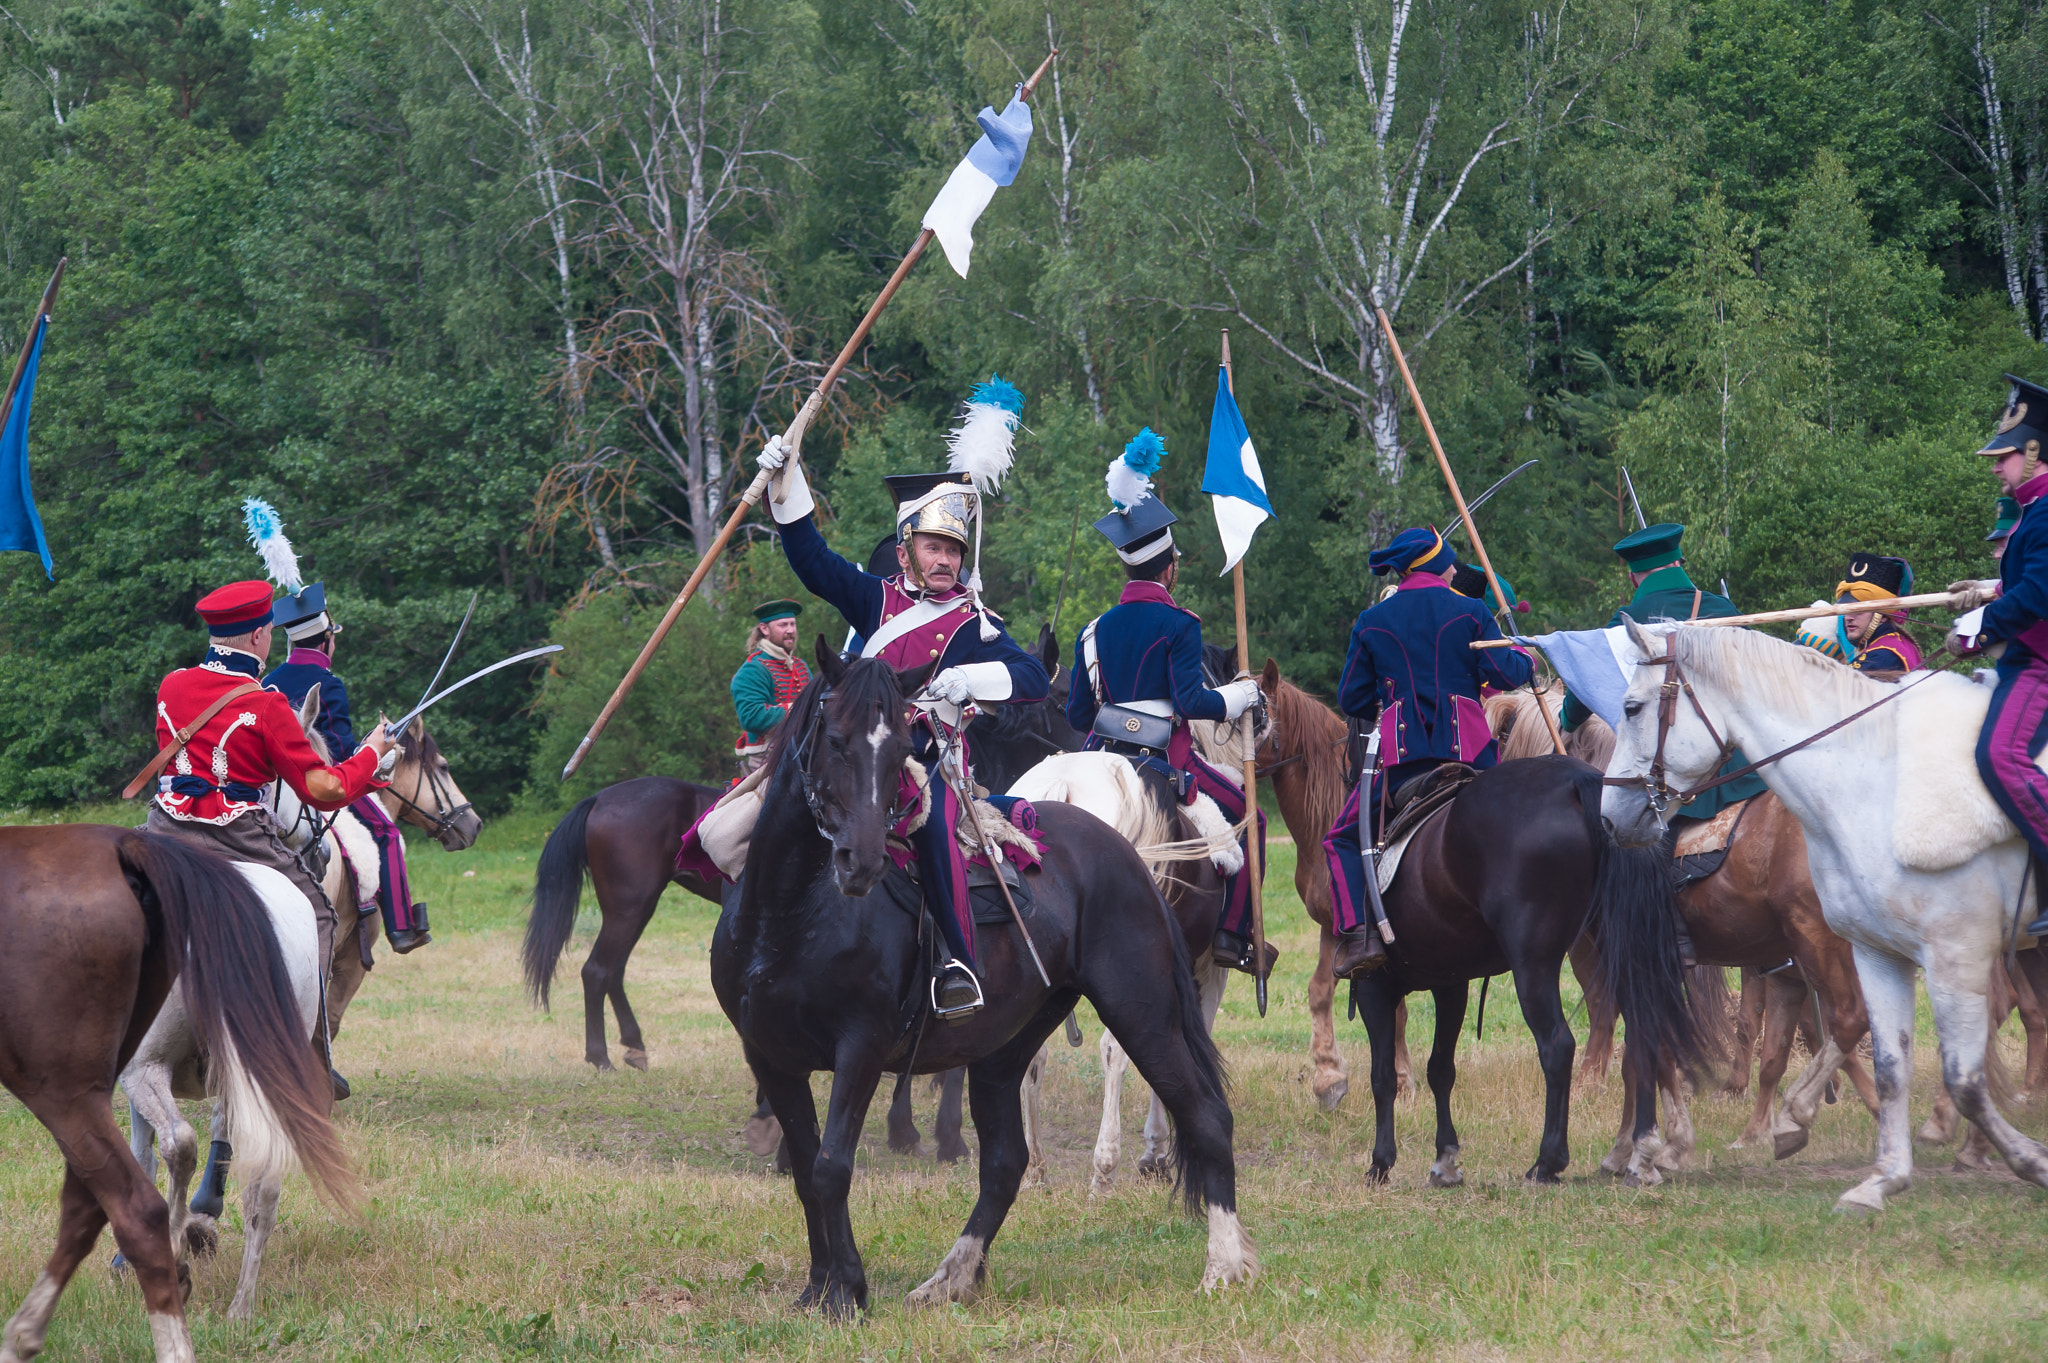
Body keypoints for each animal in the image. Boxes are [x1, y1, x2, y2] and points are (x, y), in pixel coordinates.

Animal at [704, 642, 1245, 1309]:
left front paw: (847, 1291)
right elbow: (807, 1171)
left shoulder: (860, 1047)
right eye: (834, 739)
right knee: (1006, 1161)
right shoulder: (771, 1057)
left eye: (902, 749)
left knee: (1205, 1117)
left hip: (1144, 1010)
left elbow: (832, 1167)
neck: (789, 914)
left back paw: (1223, 1266)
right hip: (1005, 1047)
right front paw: (819, 1288)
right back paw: (951, 1275)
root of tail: (1124, 853)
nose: (861, 861)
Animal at [1351, 749, 1720, 1186]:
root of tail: (1578, 780)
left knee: (1557, 1045)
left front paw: (1381, 1161)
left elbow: (1382, 1076)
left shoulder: (1373, 986)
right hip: (1619, 946)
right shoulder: (1450, 984)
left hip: (1533, 965)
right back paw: (1640, 1152)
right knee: (1643, 1031)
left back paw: (1548, 1161)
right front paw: (1445, 1159)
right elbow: (1440, 1069)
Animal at [1597, 618, 2048, 1211]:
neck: (1863, 780)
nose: (1612, 817)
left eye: (1632, 707)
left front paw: (1650, 1151)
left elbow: (1653, 1050)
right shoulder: (1858, 953)